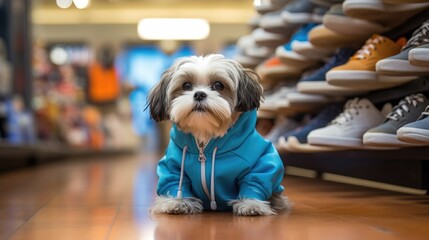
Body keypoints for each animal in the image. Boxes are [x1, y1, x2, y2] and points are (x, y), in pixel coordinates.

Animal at [145, 54, 290, 216]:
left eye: (218, 85)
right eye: (186, 86)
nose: (199, 94)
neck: (204, 141)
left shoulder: (258, 165)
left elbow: (253, 182)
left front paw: (251, 203)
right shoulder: (173, 167)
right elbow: (176, 182)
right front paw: (178, 202)